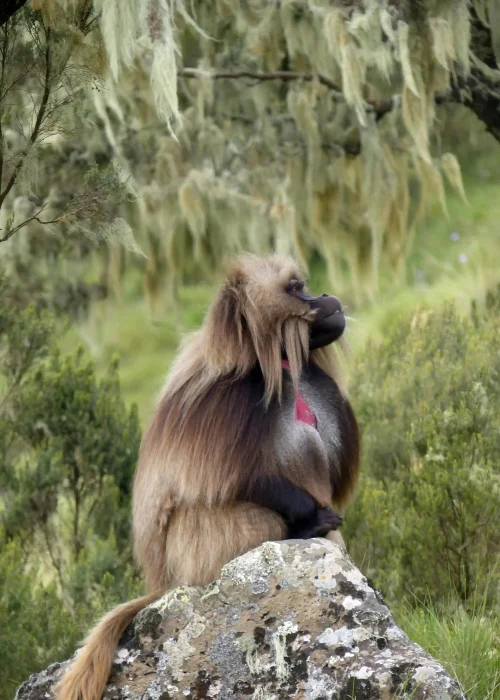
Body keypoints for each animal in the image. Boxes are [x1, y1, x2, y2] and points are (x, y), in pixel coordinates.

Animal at [56, 254, 359, 700]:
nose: (326, 297)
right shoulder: (225, 398)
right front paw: (312, 517)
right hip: (203, 549)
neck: (269, 362)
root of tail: (166, 585)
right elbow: (220, 481)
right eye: (296, 289)